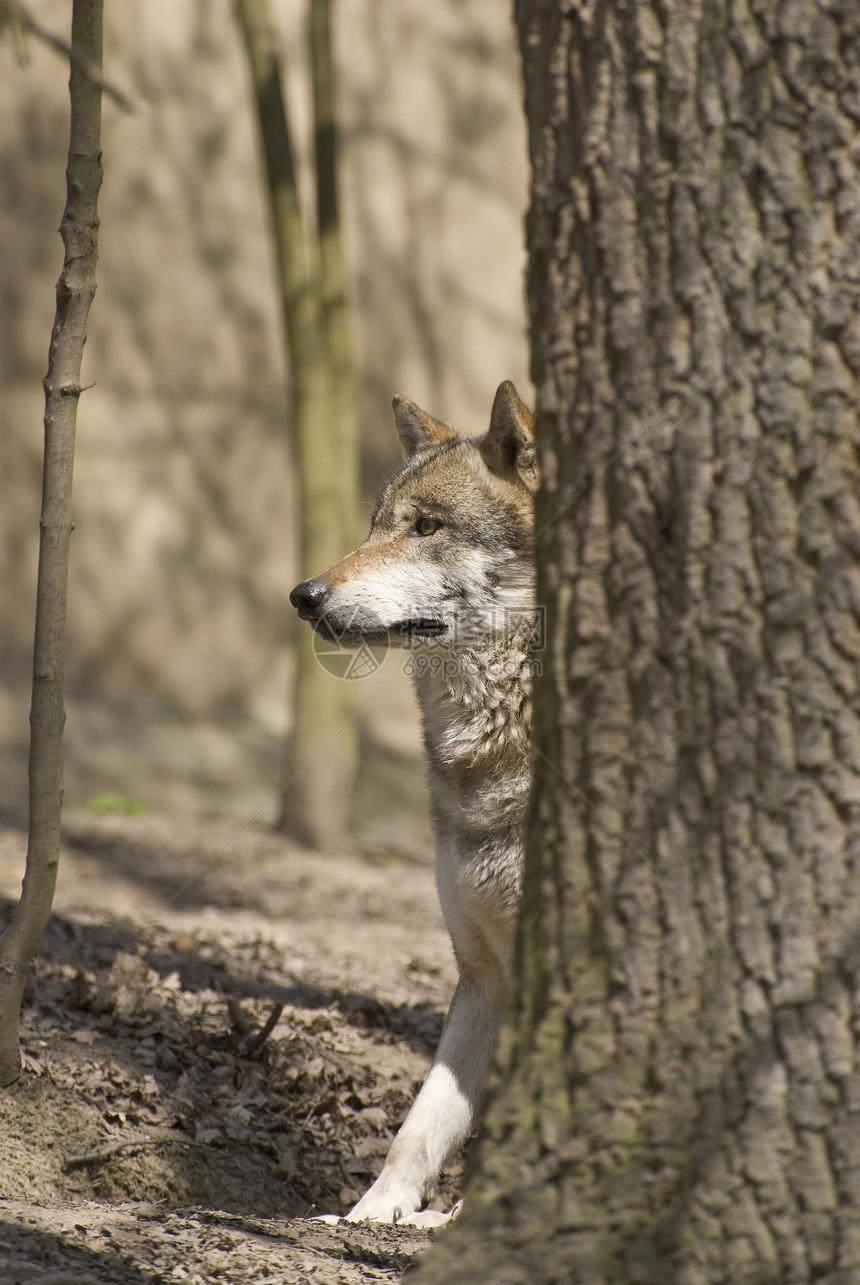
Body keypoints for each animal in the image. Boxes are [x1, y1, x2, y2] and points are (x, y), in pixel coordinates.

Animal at [287, 377, 537, 1223]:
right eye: (374, 524)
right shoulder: (483, 974)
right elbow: (421, 1122)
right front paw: (375, 1213)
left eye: (425, 527)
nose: (303, 594)